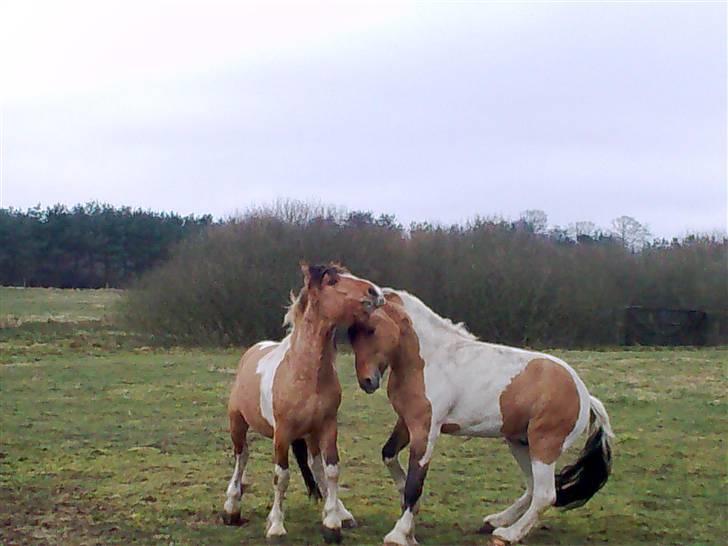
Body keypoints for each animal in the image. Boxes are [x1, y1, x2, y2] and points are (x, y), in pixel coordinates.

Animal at [222, 262, 384, 540]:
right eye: (332, 280)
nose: (375, 292)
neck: (304, 373)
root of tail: (253, 350)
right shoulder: (282, 433)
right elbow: (281, 476)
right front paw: (276, 526)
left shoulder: (327, 426)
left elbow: (331, 470)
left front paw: (332, 523)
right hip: (238, 423)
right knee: (241, 458)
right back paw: (232, 508)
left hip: (310, 434)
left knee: (315, 465)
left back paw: (342, 512)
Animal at [346, 292, 616, 544]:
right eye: (351, 333)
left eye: (371, 329)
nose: (367, 382)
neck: (429, 359)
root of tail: (585, 396)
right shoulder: (406, 422)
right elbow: (389, 455)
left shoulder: (427, 429)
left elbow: (416, 480)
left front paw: (399, 534)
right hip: (520, 443)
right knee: (532, 487)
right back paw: (495, 521)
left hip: (544, 446)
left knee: (545, 494)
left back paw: (508, 534)